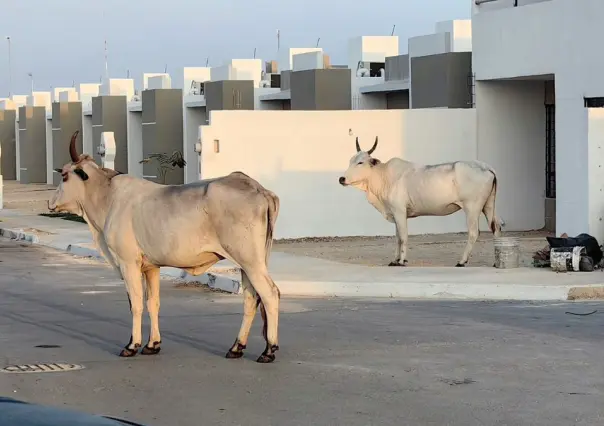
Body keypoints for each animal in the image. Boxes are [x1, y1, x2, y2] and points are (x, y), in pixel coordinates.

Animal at [49, 132, 280, 362]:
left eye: (65, 176)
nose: (51, 203)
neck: (107, 197)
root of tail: (258, 188)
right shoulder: (151, 267)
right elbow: (153, 303)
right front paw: (153, 344)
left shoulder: (128, 263)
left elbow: (136, 303)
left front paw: (132, 345)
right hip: (247, 263)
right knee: (251, 298)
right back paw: (236, 347)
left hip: (250, 261)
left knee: (269, 294)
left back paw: (269, 350)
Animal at [338, 136, 502, 266]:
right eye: (350, 160)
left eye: (360, 162)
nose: (342, 179)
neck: (383, 176)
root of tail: (486, 167)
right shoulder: (396, 213)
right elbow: (397, 237)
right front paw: (395, 260)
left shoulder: (399, 211)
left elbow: (403, 236)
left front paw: (401, 261)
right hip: (488, 205)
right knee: (496, 227)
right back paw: (496, 262)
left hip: (472, 207)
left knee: (474, 232)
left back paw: (462, 261)